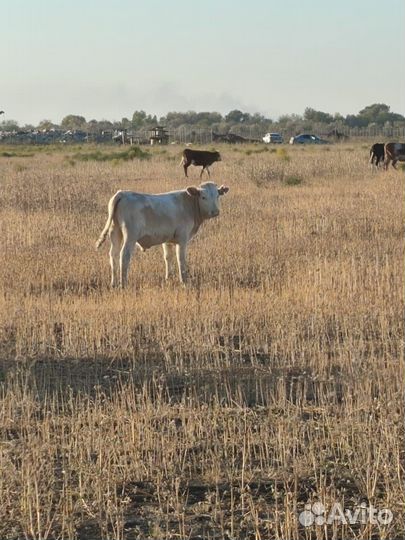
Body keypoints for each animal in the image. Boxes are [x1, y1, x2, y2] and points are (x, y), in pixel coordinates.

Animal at [94, 181, 227, 288]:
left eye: (217, 196)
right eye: (203, 197)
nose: (215, 212)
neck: (189, 204)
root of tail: (123, 193)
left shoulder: (167, 240)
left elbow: (168, 257)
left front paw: (168, 278)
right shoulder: (182, 239)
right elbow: (181, 259)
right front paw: (184, 281)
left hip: (115, 232)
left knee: (114, 255)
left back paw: (114, 283)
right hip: (130, 236)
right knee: (124, 255)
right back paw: (123, 284)